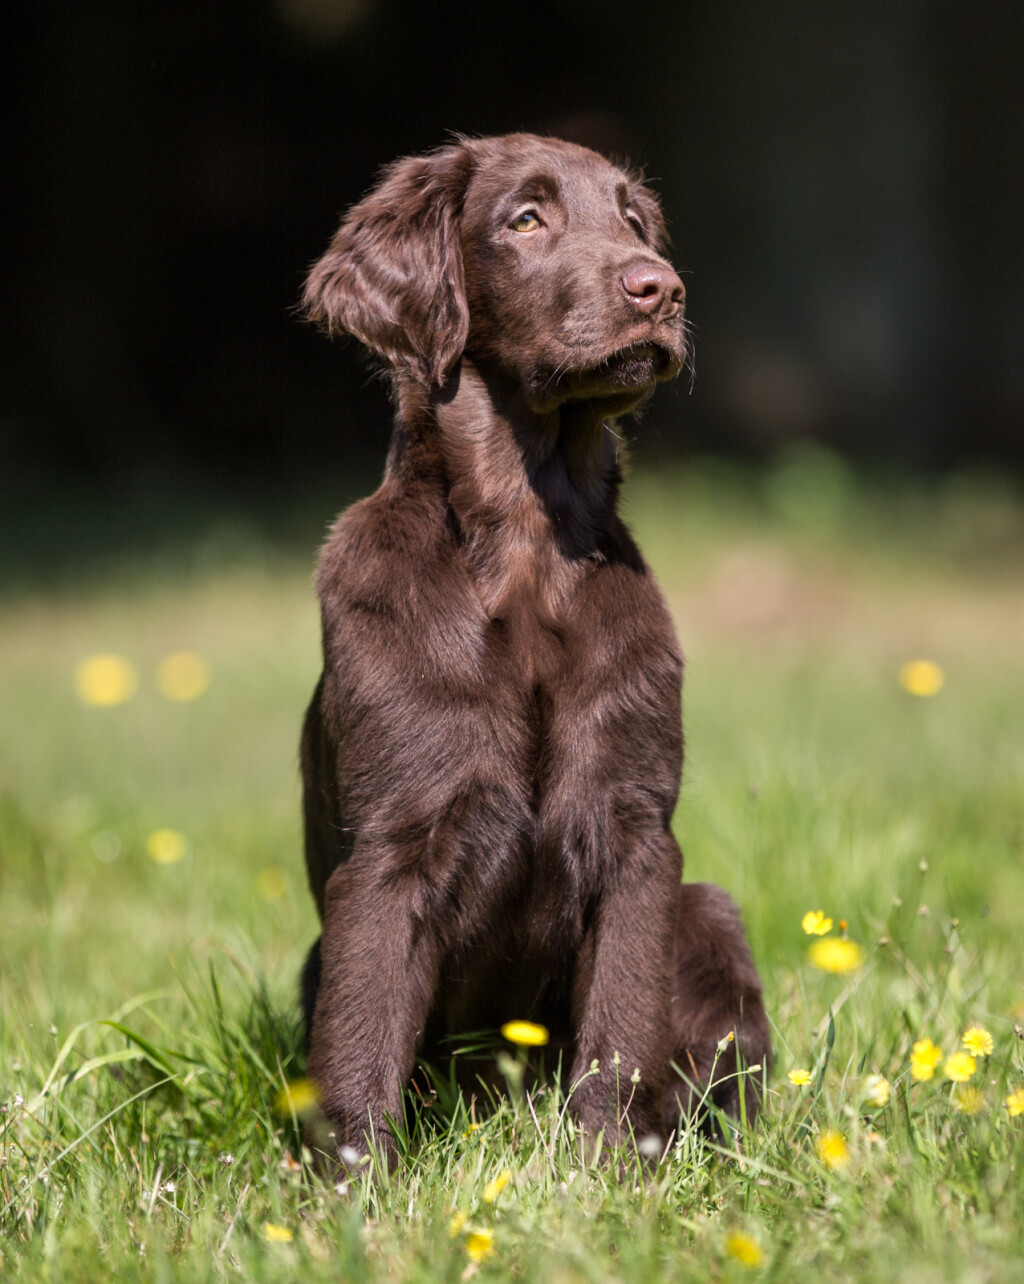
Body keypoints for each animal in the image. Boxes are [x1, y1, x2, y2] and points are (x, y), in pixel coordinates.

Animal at [296, 135, 769, 1171]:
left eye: (633, 220)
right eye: (525, 220)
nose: (660, 289)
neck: (526, 542)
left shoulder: (637, 835)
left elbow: (621, 1031)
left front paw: (611, 1174)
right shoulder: (388, 849)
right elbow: (360, 1038)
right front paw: (349, 1193)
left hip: (707, 910)